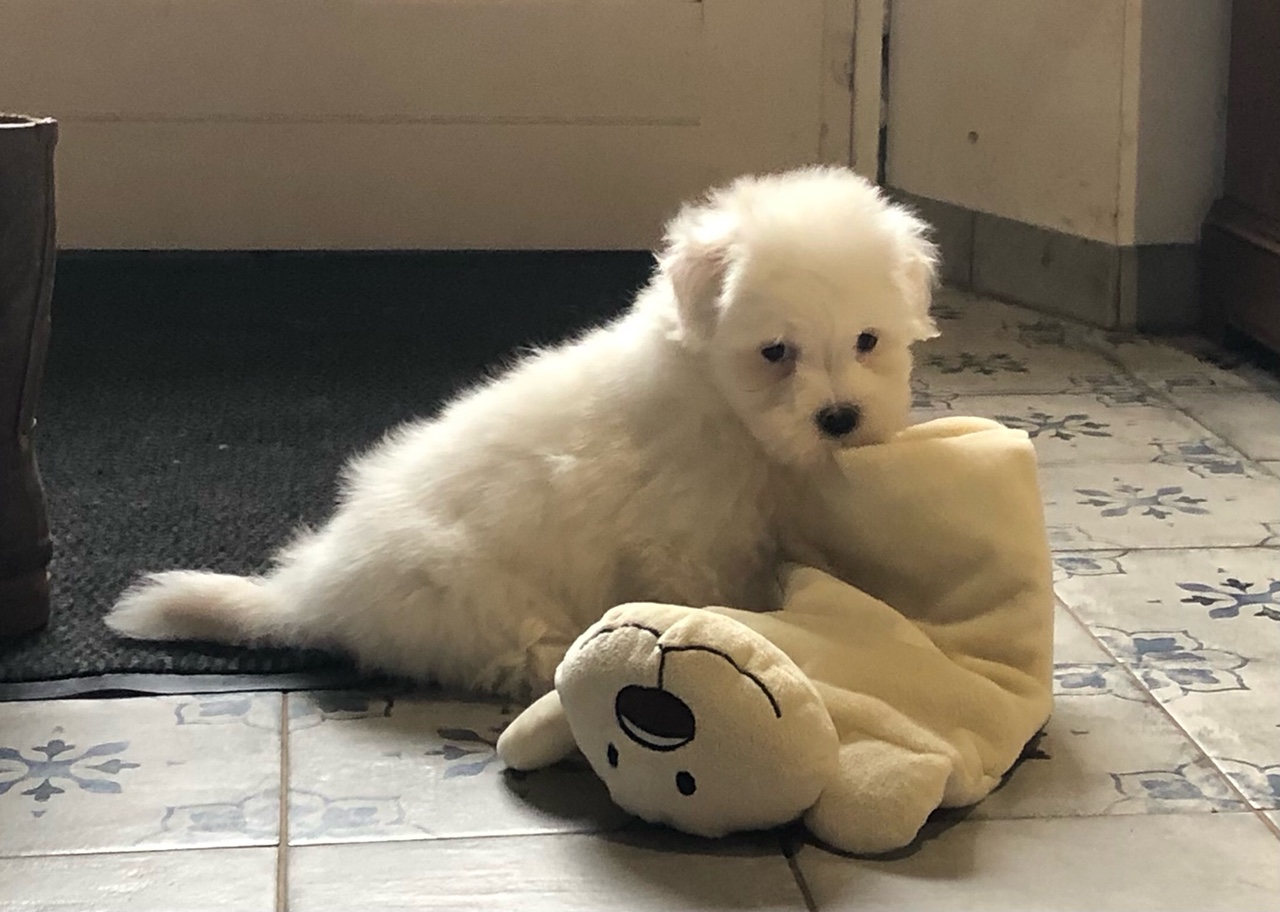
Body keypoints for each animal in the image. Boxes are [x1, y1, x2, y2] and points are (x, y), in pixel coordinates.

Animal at [104, 167, 936, 696]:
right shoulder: (681, 538)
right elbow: (714, 596)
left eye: (868, 341)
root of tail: (311, 588)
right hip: (468, 597)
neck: (719, 401)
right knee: (497, 652)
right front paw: (752, 630)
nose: (839, 419)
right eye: (774, 352)